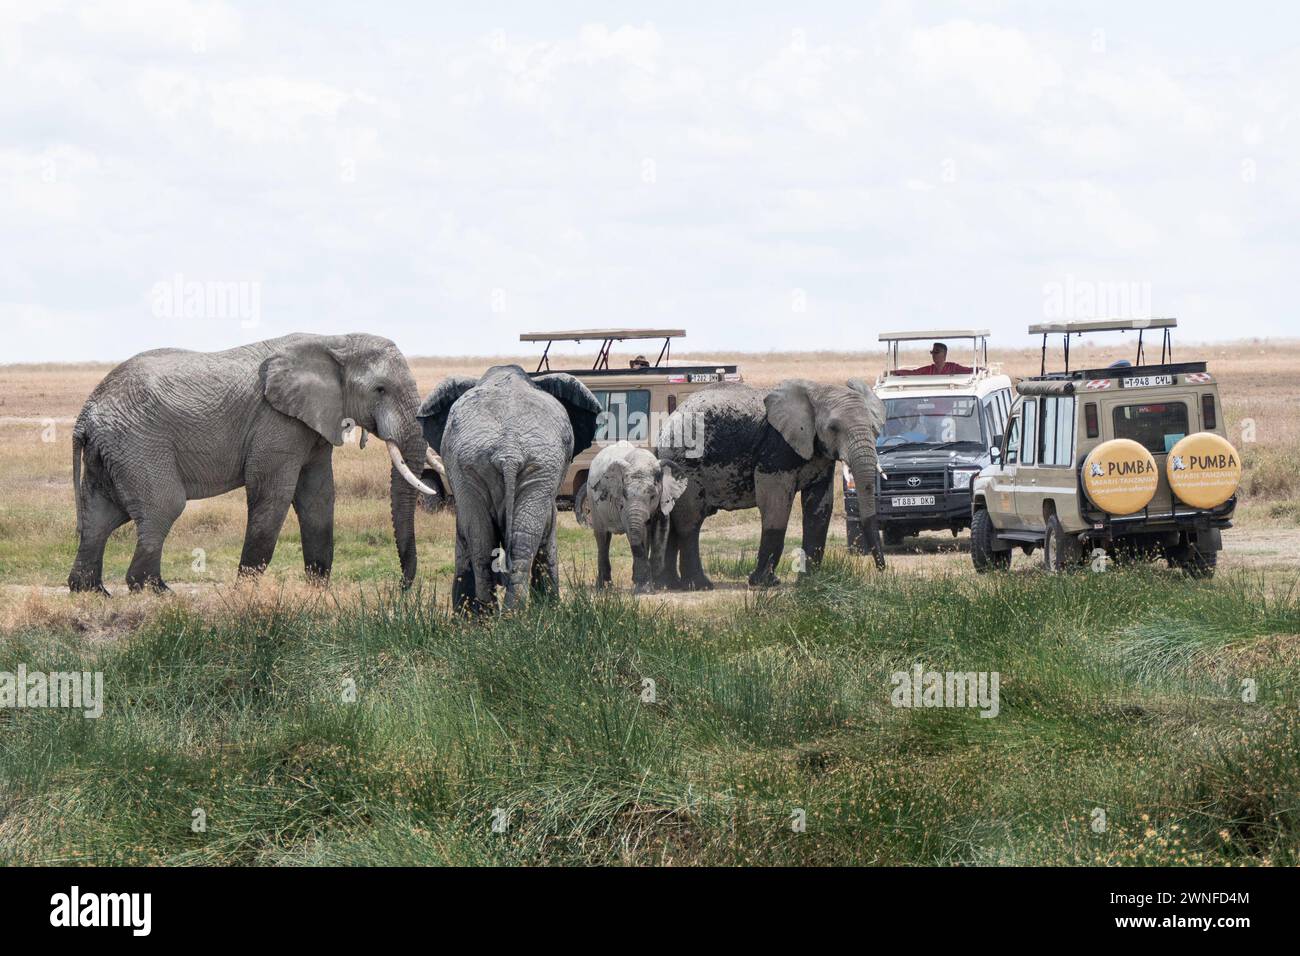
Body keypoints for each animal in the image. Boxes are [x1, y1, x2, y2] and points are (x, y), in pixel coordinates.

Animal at [68, 332, 434, 595]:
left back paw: (91, 592)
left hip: (113, 451)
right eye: (380, 389)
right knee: (163, 505)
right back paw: (156, 591)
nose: (400, 588)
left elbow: (318, 497)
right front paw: (245, 592)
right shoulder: (276, 422)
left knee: (101, 516)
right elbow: (273, 494)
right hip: (137, 443)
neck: (336, 341)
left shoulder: (312, 424)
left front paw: (317, 591)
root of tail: (85, 414)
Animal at [418, 366, 600, 613]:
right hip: (520, 469)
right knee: (515, 543)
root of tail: (508, 451)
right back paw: (512, 616)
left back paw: (490, 617)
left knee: (483, 541)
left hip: (478, 469)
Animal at [574, 444, 686, 595]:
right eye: (624, 495)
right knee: (602, 538)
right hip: (592, 499)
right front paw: (643, 589)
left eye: (653, 496)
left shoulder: (664, 498)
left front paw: (650, 584)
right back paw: (603, 587)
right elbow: (635, 533)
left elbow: (659, 528)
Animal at [655, 374, 889, 587]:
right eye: (833, 428)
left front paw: (809, 582)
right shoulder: (776, 447)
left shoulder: (820, 453)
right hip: (685, 464)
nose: (881, 569)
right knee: (690, 521)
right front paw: (764, 583)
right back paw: (699, 585)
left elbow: (819, 509)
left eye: (874, 428)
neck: (817, 391)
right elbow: (775, 504)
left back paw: (670, 585)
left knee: (674, 521)